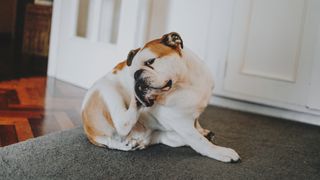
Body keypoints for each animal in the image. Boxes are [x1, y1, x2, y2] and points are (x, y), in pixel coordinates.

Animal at [81, 32, 239, 163]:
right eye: (132, 73)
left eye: (150, 61)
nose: (136, 75)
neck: (184, 83)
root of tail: (90, 132)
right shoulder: (180, 122)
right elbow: (198, 140)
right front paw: (219, 151)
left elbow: (196, 124)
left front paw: (202, 130)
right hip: (108, 92)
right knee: (122, 125)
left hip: (160, 136)